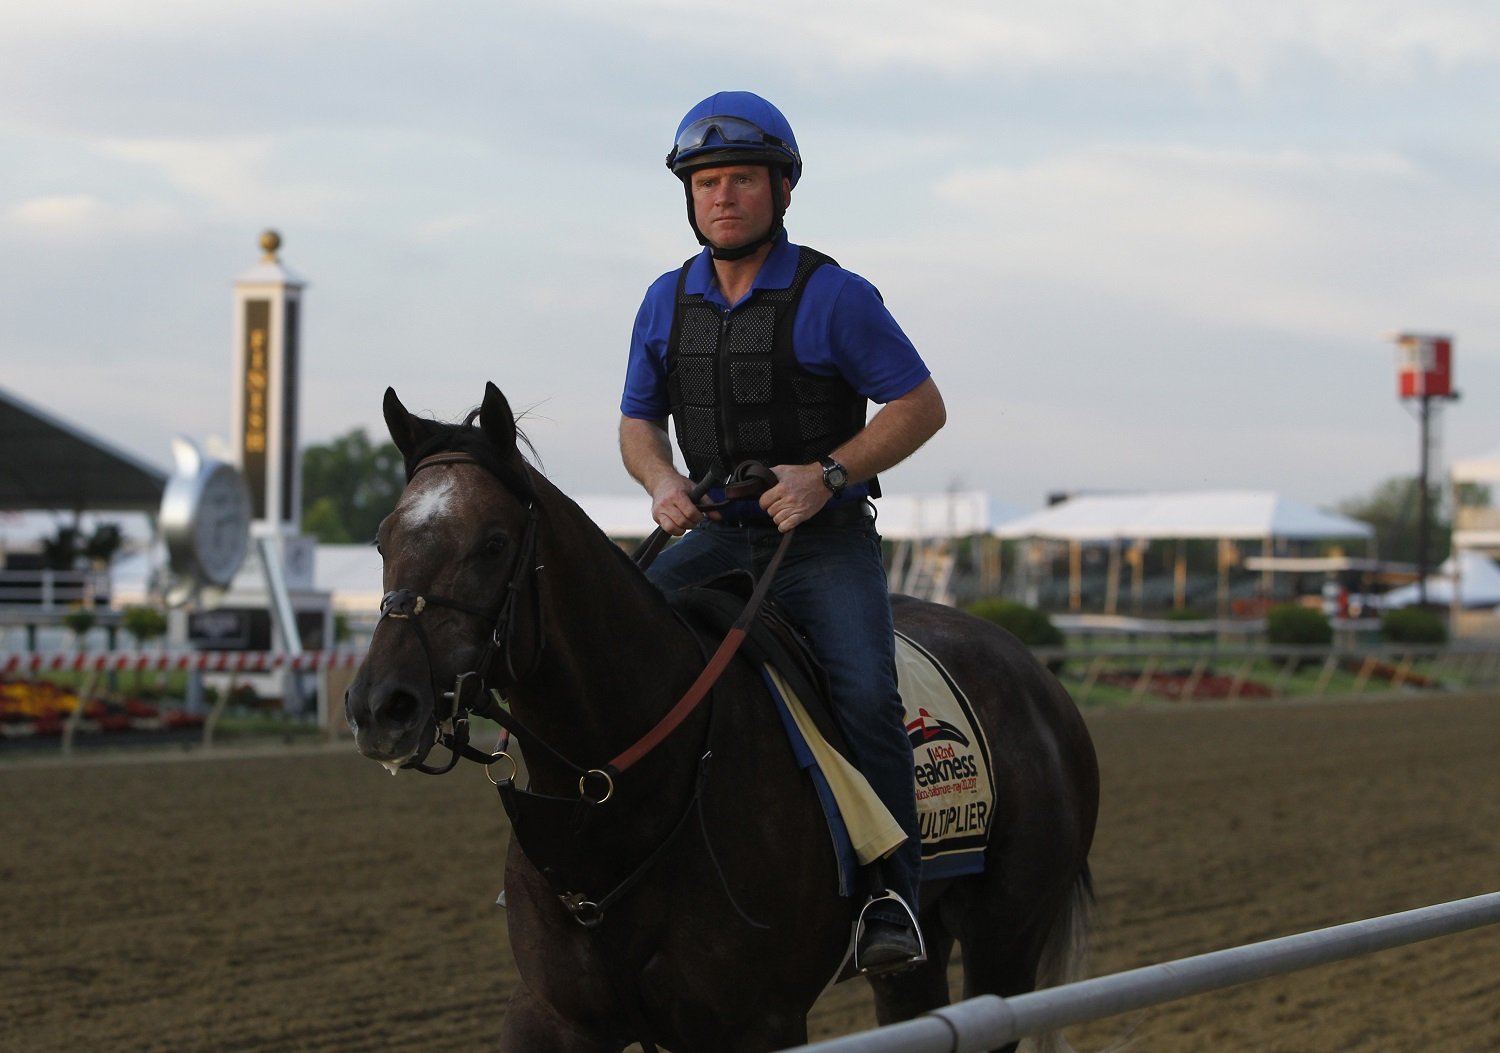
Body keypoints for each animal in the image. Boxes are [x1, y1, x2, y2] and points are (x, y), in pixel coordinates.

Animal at [345, 382, 1099, 1053]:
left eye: (494, 543)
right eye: (383, 539)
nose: (380, 704)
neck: (617, 797)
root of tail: (1036, 673)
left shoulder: (755, 1025)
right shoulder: (553, 1015)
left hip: (1005, 935)